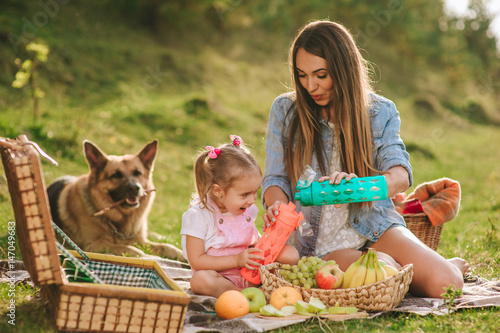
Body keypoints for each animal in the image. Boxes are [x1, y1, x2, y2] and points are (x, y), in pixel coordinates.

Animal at [47, 139, 185, 260]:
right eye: (116, 175)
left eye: (138, 173)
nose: (135, 188)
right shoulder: (93, 245)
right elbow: (129, 249)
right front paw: (149, 257)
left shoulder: (140, 240)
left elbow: (165, 246)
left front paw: (180, 254)